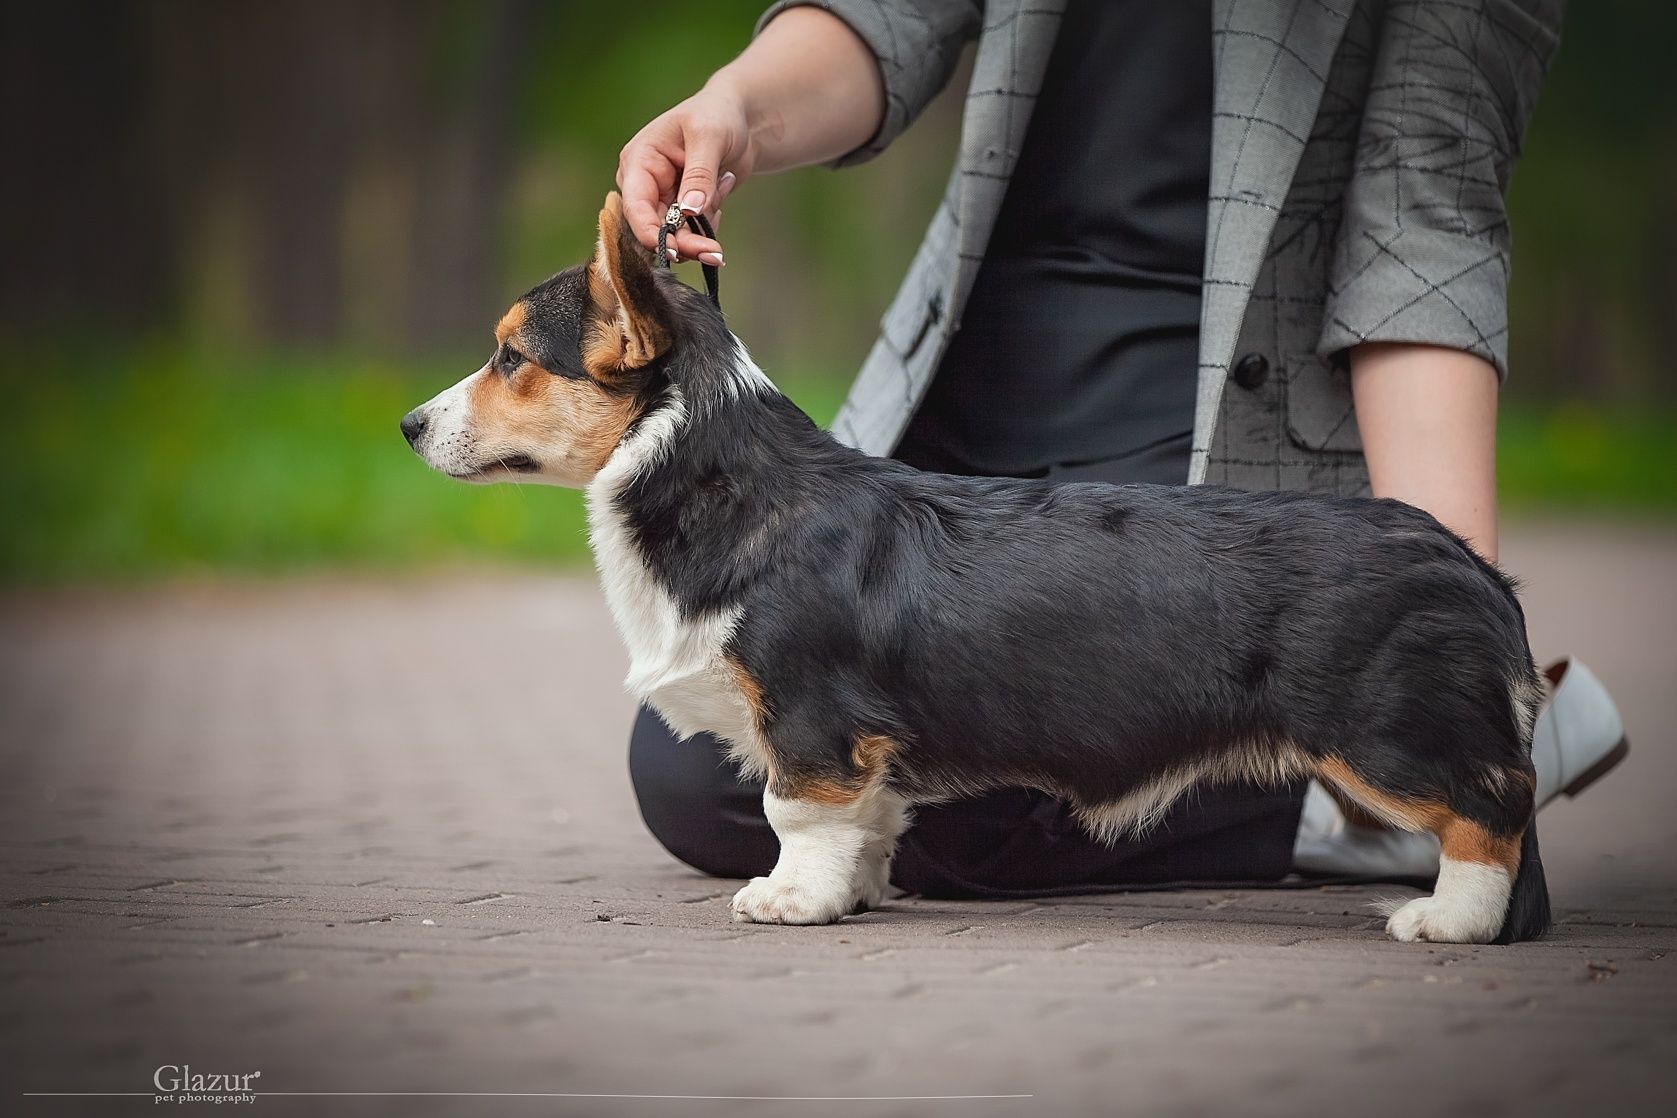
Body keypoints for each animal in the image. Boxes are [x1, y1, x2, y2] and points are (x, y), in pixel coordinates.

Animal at [399, 194, 1549, 945]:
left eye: (510, 358)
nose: (407, 426)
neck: (714, 474)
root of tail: (1468, 566)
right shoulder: (861, 746)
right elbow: (866, 820)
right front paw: (855, 890)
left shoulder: (806, 717)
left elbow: (791, 811)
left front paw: (791, 899)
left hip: (1385, 732)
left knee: (1492, 807)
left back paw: (1448, 918)